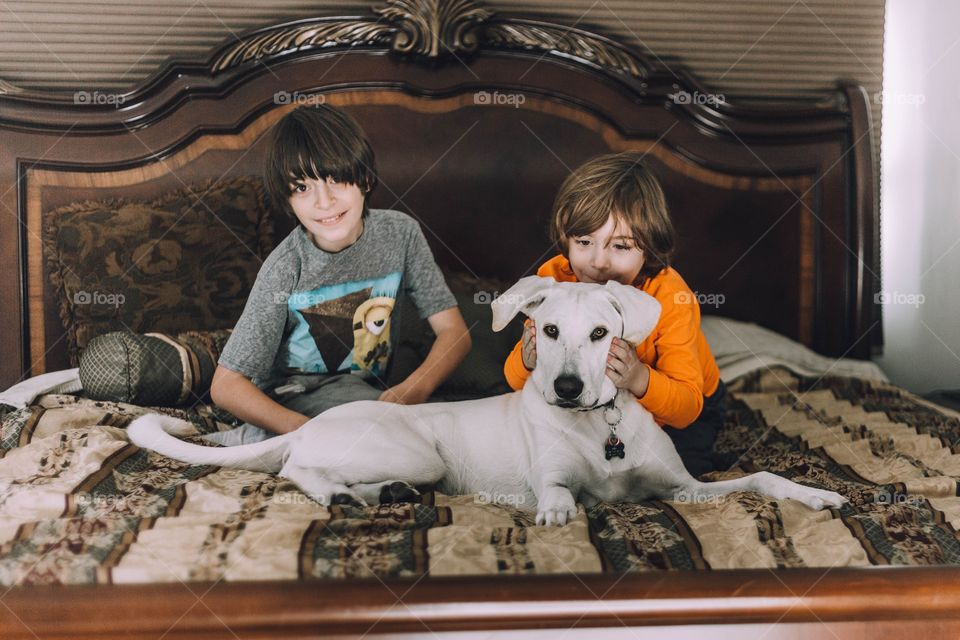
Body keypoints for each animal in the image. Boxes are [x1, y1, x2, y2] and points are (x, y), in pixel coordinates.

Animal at [125, 276, 840, 524]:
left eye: (601, 334)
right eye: (545, 330)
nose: (567, 387)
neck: (598, 426)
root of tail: (307, 425)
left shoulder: (684, 488)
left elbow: (761, 479)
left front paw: (817, 495)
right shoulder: (554, 479)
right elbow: (559, 495)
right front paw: (559, 515)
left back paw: (378, 496)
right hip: (415, 452)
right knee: (299, 469)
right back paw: (343, 496)